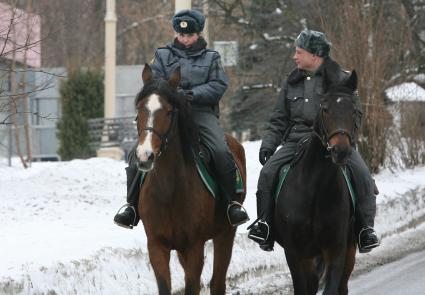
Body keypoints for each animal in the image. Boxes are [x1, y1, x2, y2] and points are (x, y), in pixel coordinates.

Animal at [132, 63, 245, 294]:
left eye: (168, 111)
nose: (144, 156)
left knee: (217, 282)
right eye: (139, 109)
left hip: (226, 234)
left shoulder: (195, 247)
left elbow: (193, 286)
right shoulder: (157, 246)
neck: (168, 190)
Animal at [274, 70, 360, 294]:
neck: (315, 189)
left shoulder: (336, 249)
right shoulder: (295, 253)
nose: (341, 151)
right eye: (325, 108)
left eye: (354, 110)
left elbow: (332, 287)